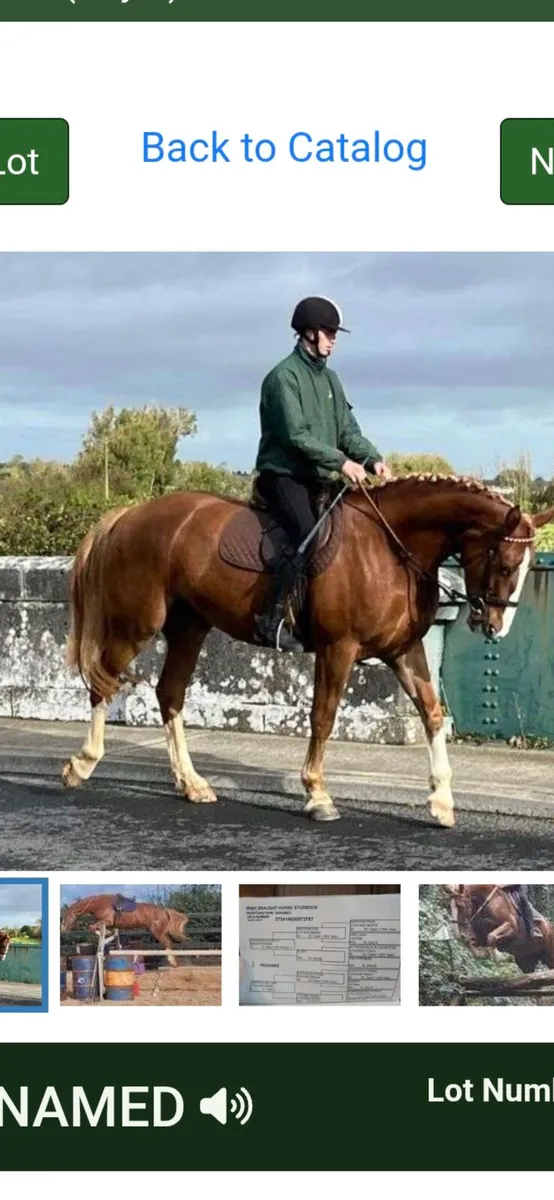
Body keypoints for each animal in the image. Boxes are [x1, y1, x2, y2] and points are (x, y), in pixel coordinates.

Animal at [60, 474, 554, 829]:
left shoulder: (404, 649)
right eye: (506, 564)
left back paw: (191, 783)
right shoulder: (339, 648)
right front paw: (317, 793)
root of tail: (129, 514)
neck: (390, 547)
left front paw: (442, 800)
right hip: (137, 624)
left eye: (527, 565)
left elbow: (432, 713)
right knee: (103, 683)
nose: (494, 627)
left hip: (188, 627)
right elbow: (323, 716)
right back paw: (82, 764)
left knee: (170, 694)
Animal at [61, 894, 189, 967]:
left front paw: (104, 934)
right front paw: (108, 935)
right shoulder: (110, 924)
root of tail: (164, 910)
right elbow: (111, 932)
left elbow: (92, 927)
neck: (99, 904)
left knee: (167, 942)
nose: (63, 929)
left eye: (66, 916)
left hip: (156, 931)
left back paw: (172, 962)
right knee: (168, 942)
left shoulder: (106, 921)